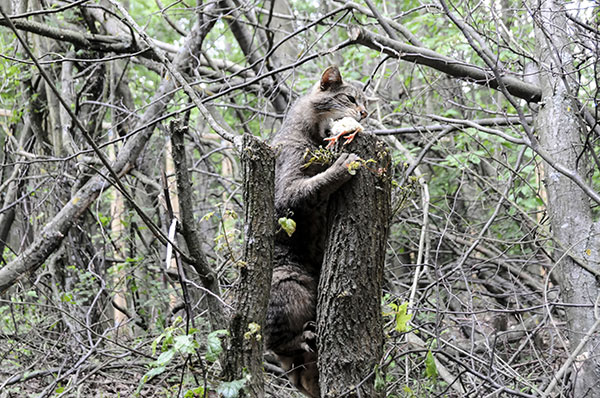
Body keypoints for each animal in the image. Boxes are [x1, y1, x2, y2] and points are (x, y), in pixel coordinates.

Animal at [264, 66, 368, 398]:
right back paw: (301, 339)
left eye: (365, 104)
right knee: (276, 344)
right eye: (350, 99)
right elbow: (315, 185)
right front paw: (340, 167)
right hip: (290, 285)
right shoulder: (285, 193)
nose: (364, 113)